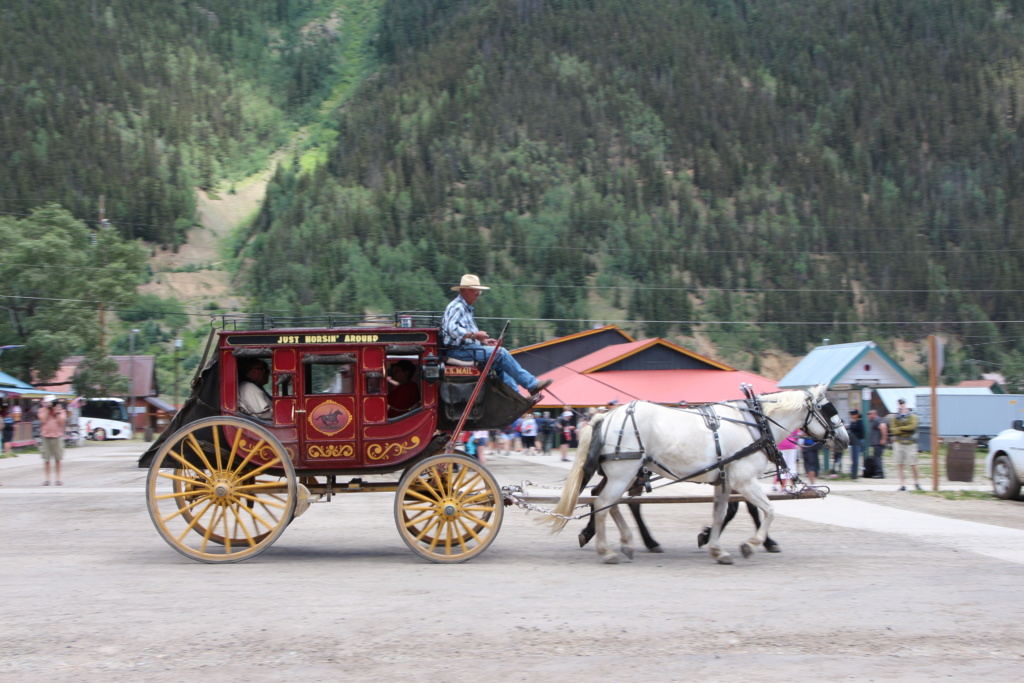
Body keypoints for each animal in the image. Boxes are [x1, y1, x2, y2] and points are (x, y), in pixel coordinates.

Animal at [552, 387, 847, 565]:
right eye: (830, 409)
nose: (845, 439)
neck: (755, 424)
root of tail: (605, 416)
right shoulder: (744, 480)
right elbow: (768, 510)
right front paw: (752, 544)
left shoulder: (725, 481)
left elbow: (721, 513)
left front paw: (716, 547)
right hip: (624, 473)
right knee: (604, 503)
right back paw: (608, 550)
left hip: (627, 474)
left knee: (607, 502)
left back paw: (624, 541)